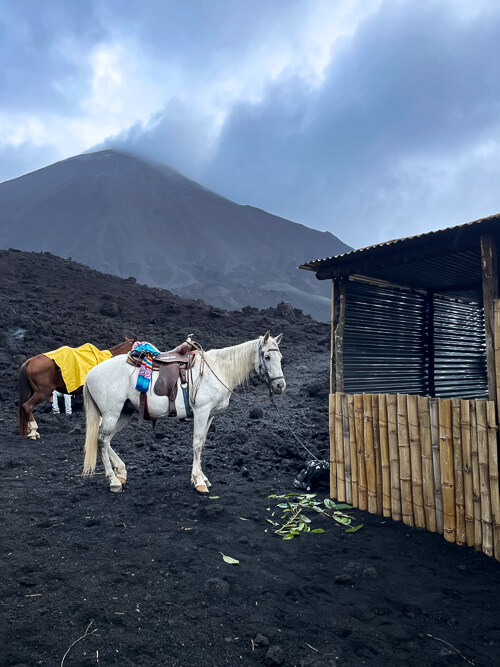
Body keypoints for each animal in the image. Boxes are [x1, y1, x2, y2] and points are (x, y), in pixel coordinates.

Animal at [82, 332, 286, 494]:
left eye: (281, 357)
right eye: (267, 356)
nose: (280, 385)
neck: (218, 370)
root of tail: (90, 373)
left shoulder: (210, 415)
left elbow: (202, 443)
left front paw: (201, 477)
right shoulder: (201, 412)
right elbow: (196, 444)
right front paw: (199, 481)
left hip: (124, 412)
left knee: (105, 439)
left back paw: (121, 472)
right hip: (112, 413)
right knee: (101, 440)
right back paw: (113, 481)